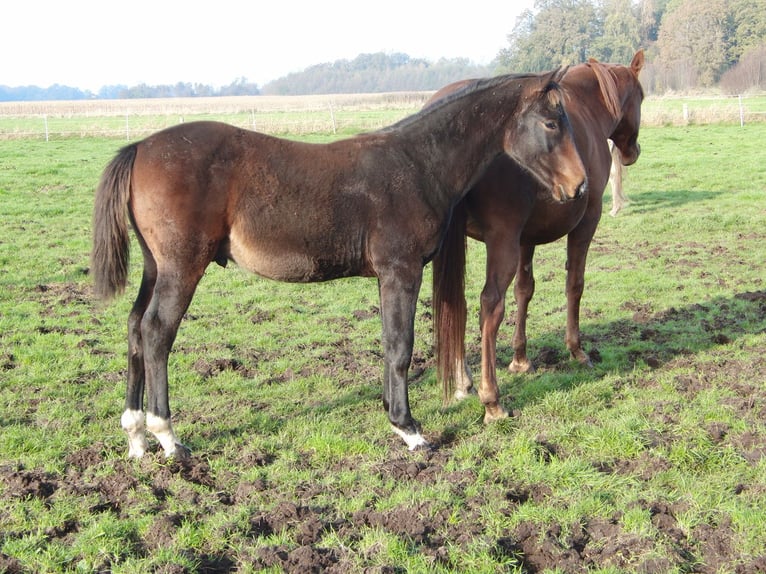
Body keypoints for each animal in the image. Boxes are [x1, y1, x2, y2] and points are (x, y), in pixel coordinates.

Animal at [94, 70, 588, 460]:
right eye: (551, 122)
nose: (580, 186)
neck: (419, 163)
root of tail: (140, 147)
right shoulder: (401, 270)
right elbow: (401, 347)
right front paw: (410, 430)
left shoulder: (388, 276)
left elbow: (389, 344)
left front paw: (393, 417)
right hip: (181, 268)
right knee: (156, 331)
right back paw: (167, 437)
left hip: (155, 267)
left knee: (135, 327)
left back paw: (136, 436)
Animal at [436, 51, 644, 424]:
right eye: (642, 97)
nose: (632, 151)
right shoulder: (585, 224)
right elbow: (574, 284)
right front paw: (576, 350)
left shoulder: (525, 238)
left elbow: (525, 290)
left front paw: (520, 359)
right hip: (501, 241)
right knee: (490, 305)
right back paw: (491, 399)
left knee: (452, 303)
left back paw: (463, 381)